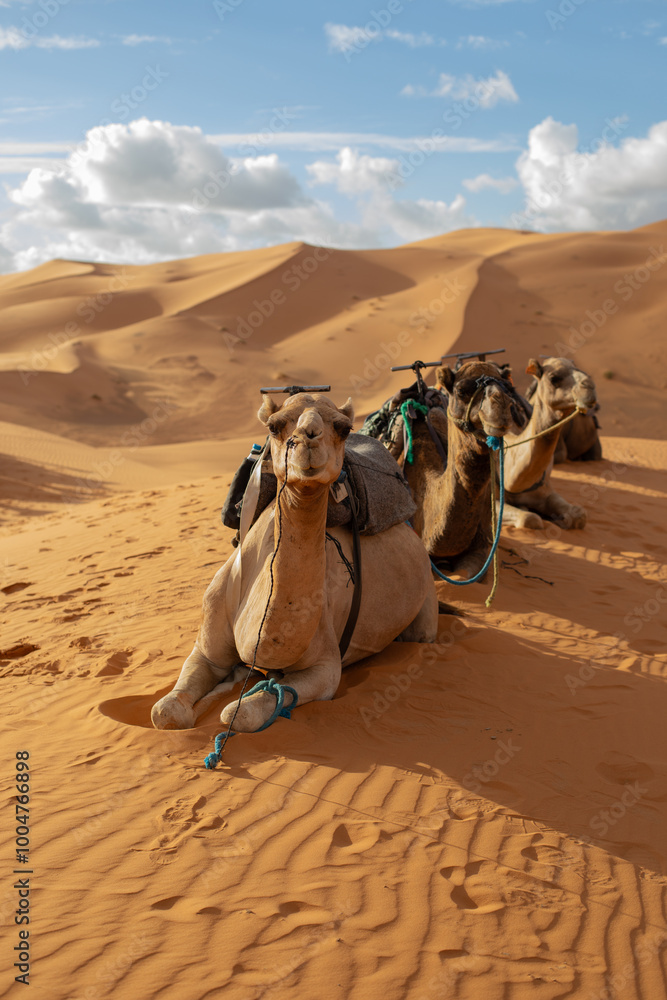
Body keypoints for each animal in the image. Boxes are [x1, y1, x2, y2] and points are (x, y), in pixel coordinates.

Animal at [151, 392, 438, 734]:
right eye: (274, 426)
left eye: (343, 428)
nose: (308, 439)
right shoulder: (207, 649)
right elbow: (166, 711)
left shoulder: (326, 667)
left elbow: (241, 713)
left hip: (426, 600)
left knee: (422, 634)